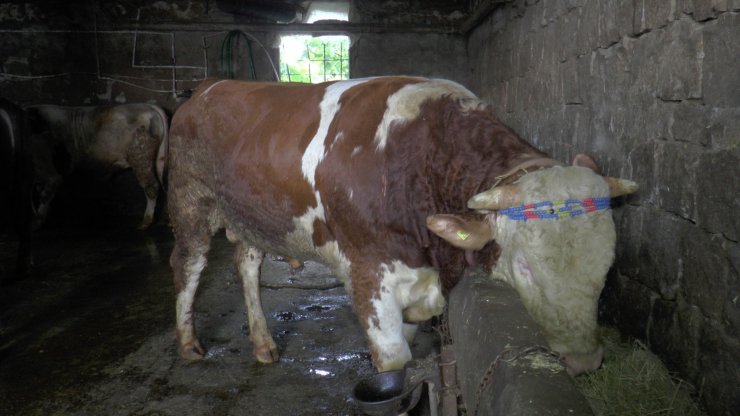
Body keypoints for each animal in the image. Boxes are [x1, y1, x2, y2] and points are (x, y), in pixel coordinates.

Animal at [26, 103, 169, 229]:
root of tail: (148, 106)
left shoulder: (47, 171)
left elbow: (45, 193)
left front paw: (35, 222)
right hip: (158, 160)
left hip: (141, 157)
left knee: (151, 187)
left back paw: (145, 222)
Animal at [165, 76, 640, 376]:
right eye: (526, 269)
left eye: (605, 271)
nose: (585, 363)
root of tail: (206, 88)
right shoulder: (368, 273)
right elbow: (394, 359)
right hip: (191, 204)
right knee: (187, 265)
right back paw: (188, 345)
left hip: (253, 217)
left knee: (246, 264)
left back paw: (263, 343)